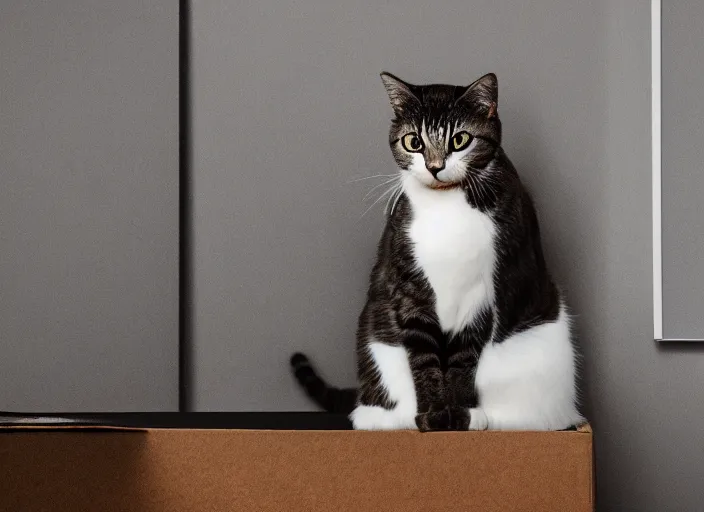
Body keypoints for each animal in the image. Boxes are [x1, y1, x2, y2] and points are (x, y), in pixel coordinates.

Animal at [292, 73, 584, 432]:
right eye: (413, 142)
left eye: (460, 140)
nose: (434, 166)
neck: (446, 206)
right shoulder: (410, 288)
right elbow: (423, 356)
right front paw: (433, 414)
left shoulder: (481, 292)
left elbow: (463, 359)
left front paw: (461, 414)